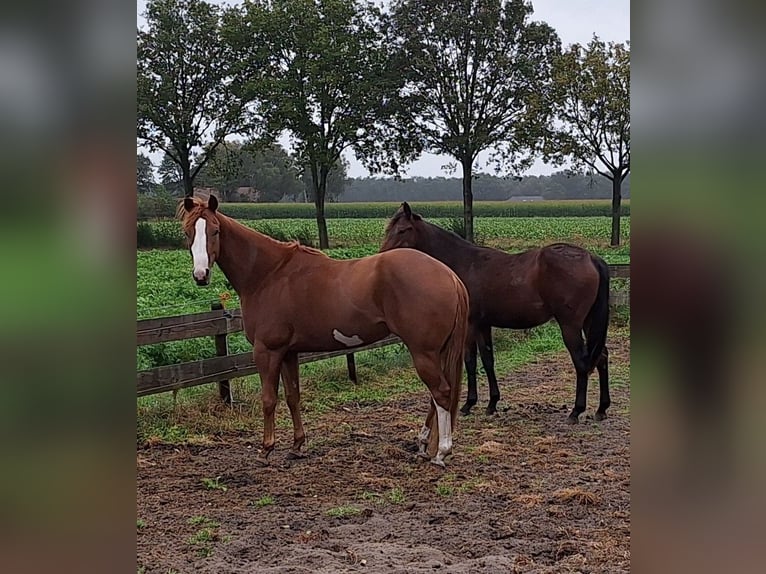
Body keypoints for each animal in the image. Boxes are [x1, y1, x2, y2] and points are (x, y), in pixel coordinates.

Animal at [181, 198, 472, 468]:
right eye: (187, 232)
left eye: (215, 231)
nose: (201, 275)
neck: (268, 274)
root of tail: (449, 275)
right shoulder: (289, 353)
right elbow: (293, 397)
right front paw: (297, 446)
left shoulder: (267, 351)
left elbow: (268, 399)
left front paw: (266, 450)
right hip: (436, 352)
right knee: (437, 396)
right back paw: (425, 445)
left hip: (423, 352)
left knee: (441, 393)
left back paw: (441, 452)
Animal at [382, 202, 612, 424]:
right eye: (388, 229)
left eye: (402, 230)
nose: (381, 256)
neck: (464, 264)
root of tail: (590, 258)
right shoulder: (484, 325)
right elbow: (488, 360)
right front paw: (492, 403)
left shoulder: (471, 325)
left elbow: (470, 361)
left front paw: (468, 404)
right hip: (589, 322)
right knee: (601, 357)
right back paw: (601, 409)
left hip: (570, 325)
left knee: (581, 362)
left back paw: (576, 411)